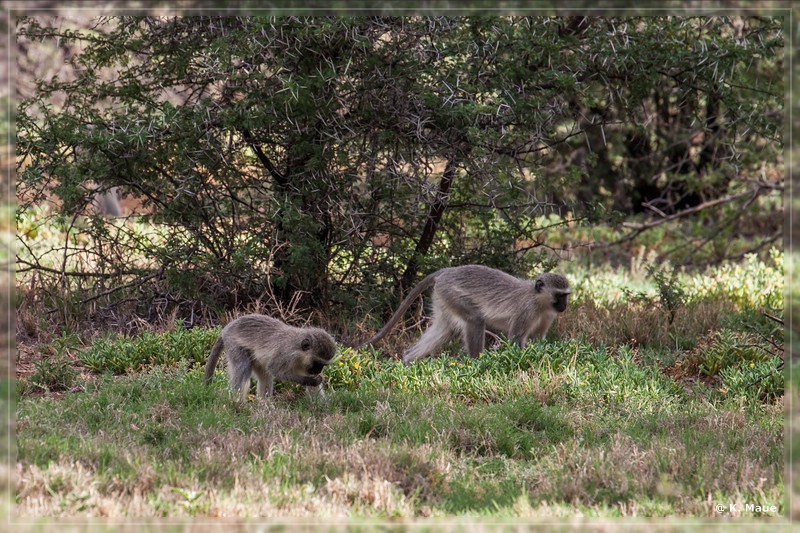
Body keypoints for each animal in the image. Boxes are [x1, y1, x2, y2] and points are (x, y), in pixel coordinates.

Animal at [205, 312, 340, 400]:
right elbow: (275, 370)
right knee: (243, 366)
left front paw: (323, 408)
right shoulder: (284, 354)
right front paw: (312, 380)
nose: (319, 370)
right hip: (233, 343)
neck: (298, 351)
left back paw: (265, 406)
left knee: (264, 375)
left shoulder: (306, 367)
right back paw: (237, 402)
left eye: (323, 364)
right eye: (318, 363)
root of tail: (226, 328)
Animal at [360, 264, 572, 364]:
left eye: (566, 296)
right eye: (560, 295)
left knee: (444, 330)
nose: (565, 306)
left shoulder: (547, 315)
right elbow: (516, 339)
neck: (538, 300)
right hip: (453, 294)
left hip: (442, 297)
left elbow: (538, 339)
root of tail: (446, 272)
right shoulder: (526, 311)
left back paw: (407, 360)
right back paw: (477, 364)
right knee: (475, 320)